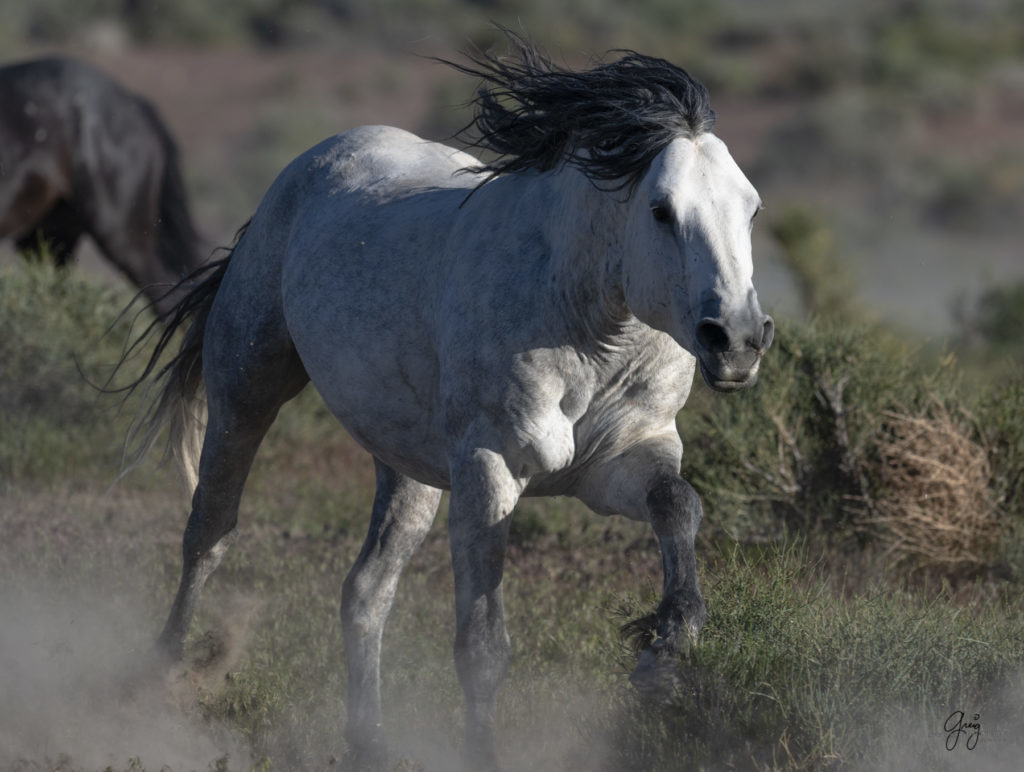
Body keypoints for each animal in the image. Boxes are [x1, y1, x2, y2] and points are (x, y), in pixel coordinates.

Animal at [123, 34, 770, 769]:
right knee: (209, 532)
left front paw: (665, 650)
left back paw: (369, 741)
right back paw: (162, 683)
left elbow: (678, 505)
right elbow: (483, 648)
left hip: (408, 469)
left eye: (751, 208)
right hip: (246, 392)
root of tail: (313, 164)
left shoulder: (624, 459)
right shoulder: (489, 471)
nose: (738, 341)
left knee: (365, 592)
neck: (583, 325)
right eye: (661, 209)